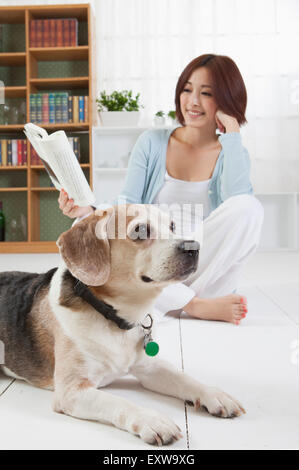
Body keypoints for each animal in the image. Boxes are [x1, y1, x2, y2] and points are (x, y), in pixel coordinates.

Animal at [0, 205, 245, 444]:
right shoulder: (71, 391)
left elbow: (183, 378)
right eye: (140, 230)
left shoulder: (149, 367)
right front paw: (151, 419)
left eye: (173, 226)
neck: (113, 317)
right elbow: (118, 402)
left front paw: (214, 394)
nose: (193, 247)